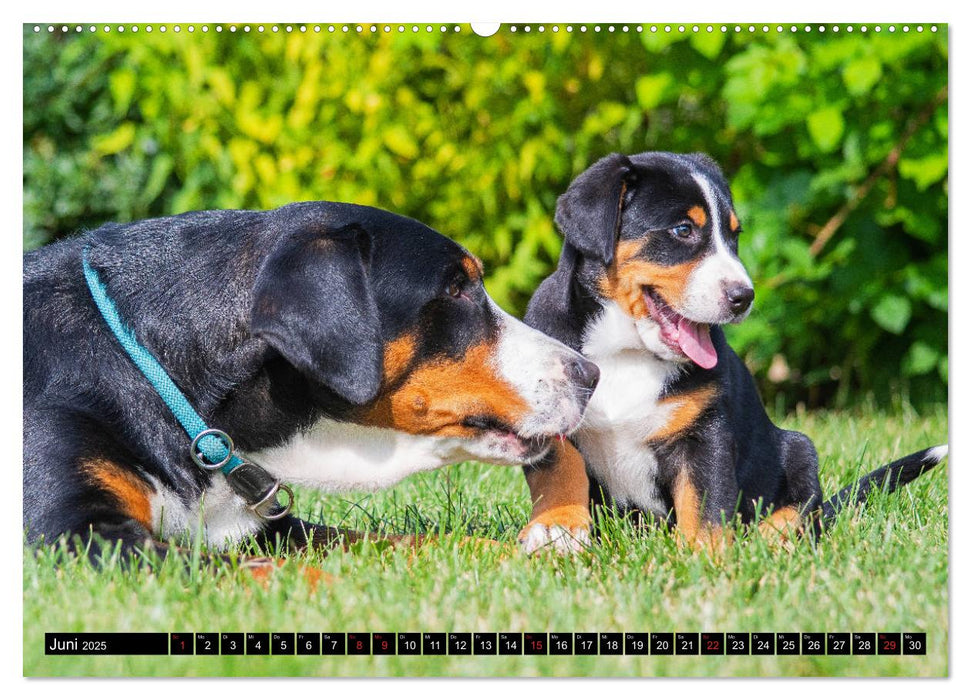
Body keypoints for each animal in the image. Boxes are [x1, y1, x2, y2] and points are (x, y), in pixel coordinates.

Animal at [520, 153, 944, 552]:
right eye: (683, 230)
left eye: (735, 235)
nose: (744, 296)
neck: (625, 350)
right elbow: (561, 473)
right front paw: (557, 529)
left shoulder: (705, 433)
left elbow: (706, 503)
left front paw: (705, 558)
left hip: (797, 448)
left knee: (800, 510)